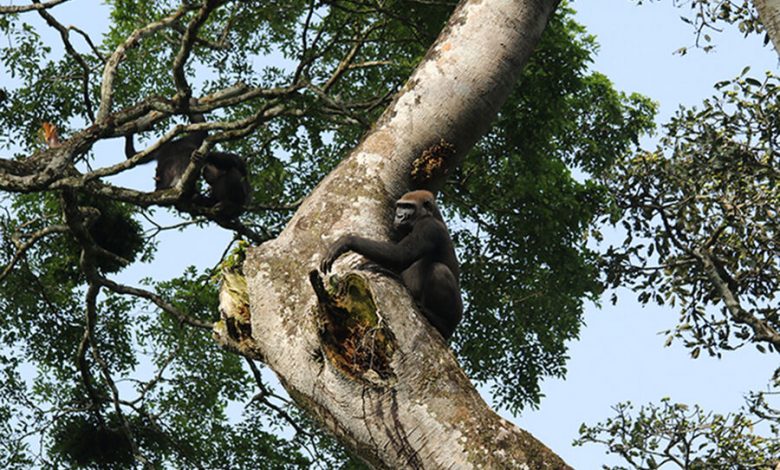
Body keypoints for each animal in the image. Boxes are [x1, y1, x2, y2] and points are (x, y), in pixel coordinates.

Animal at [318, 189, 464, 340]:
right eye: (400, 206)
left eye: (408, 207)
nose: (399, 216)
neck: (431, 214)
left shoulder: (429, 227)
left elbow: (400, 255)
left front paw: (347, 241)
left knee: (440, 270)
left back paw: (442, 323)